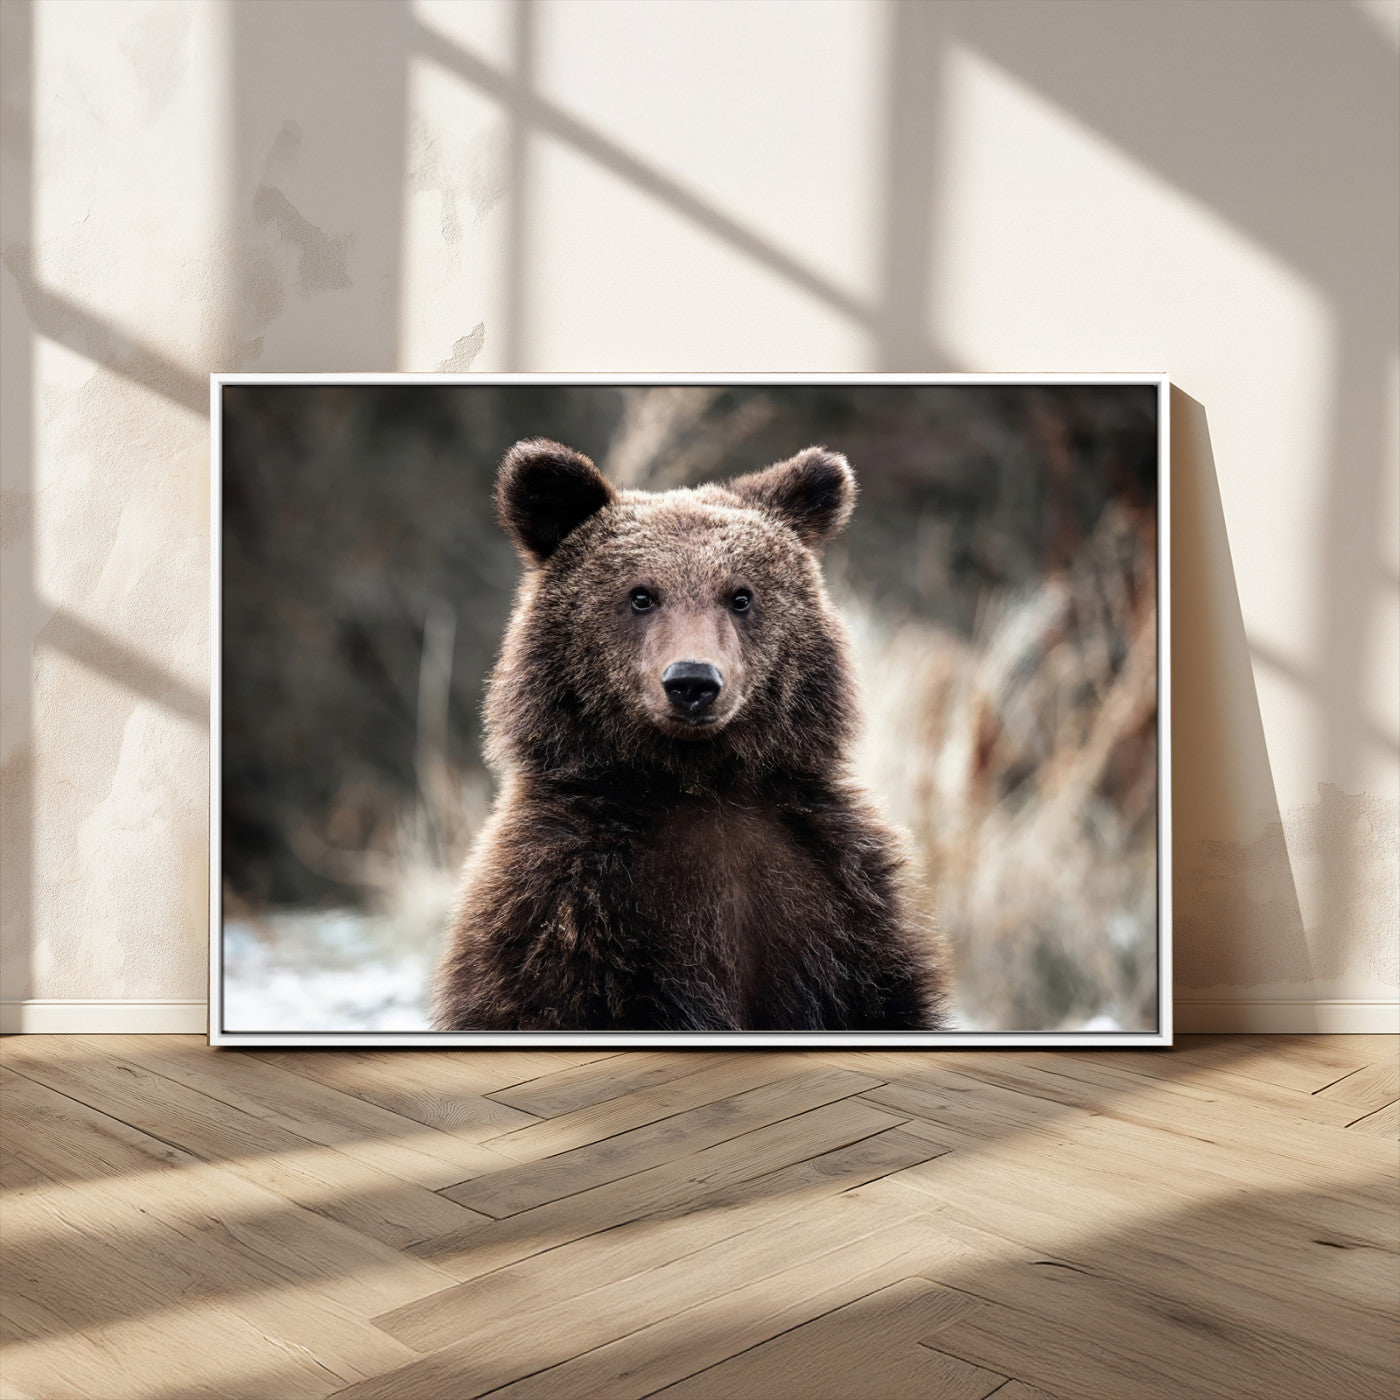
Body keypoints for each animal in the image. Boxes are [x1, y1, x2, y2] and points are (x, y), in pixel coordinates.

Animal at [432, 438, 948, 1032]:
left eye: (741, 596)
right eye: (640, 595)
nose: (693, 682)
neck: (699, 782)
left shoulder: (841, 903)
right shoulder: (565, 908)